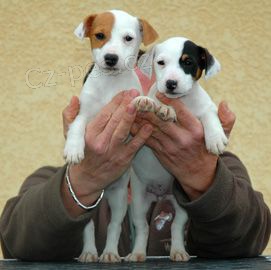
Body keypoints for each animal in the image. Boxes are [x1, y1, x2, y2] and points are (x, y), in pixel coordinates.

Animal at [63, 9, 157, 262]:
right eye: (100, 35)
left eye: (128, 38)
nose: (111, 58)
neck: (110, 84)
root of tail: (103, 194)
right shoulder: (85, 114)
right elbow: (77, 126)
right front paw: (73, 149)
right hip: (88, 206)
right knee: (88, 227)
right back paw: (89, 253)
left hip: (119, 198)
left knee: (114, 226)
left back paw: (110, 253)